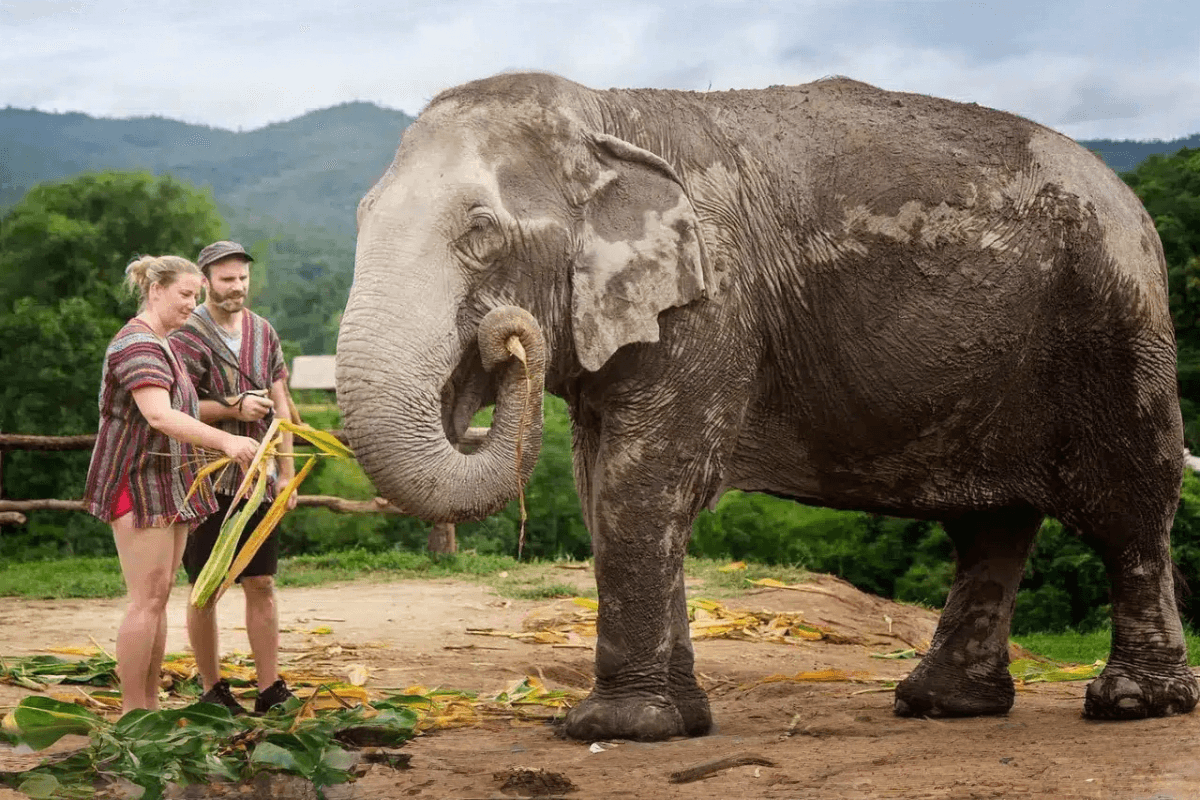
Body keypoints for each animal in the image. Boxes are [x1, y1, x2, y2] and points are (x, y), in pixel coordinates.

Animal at [335, 71, 1199, 741]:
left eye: (480, 232)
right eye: (361, 216)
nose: (503, 339)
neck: (609, 113)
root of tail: (1134, 202)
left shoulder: (713, 301)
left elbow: (643, 484)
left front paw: (615, 729)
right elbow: (599, 486)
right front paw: (682, 723)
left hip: (1114, 325)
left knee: (1128, 506)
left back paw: (1133, 704)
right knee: (993, 526)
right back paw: (942, 705)